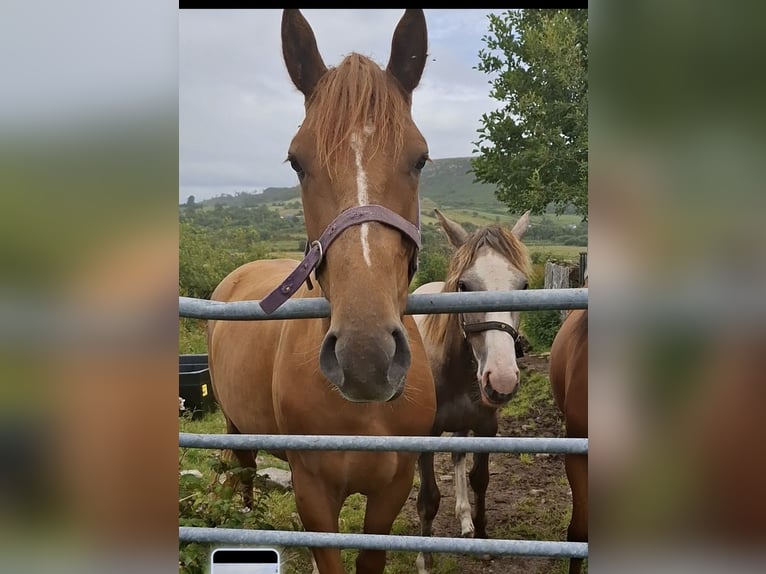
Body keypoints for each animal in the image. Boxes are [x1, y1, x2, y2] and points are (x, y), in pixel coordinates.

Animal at [206, 9, 436, 574]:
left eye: (420, 159)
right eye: (296, 162)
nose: (366, 357)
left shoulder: (391, 490)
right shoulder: (312, 492)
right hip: (234, 424)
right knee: (241, 473)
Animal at [411, 209, 531, 574]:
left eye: (523, 286)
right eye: (464, 286)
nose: (502, 380)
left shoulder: (486, 427)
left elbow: (480, 479)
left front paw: (480, 536)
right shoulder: (426, 433)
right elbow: (428, 499)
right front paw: (425, 558)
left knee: (458, 458)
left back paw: (464, 518)